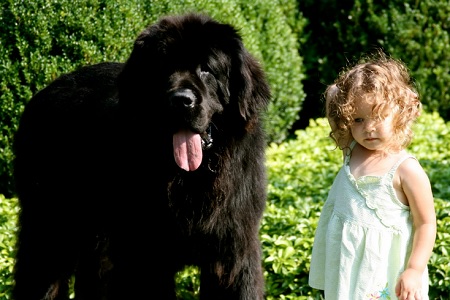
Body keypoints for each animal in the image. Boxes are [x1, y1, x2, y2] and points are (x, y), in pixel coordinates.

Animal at [12, 12, 270, 300]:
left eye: (207, 68)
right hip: (52, 222)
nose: (181, 99)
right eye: (163, 68)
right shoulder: (146, 255)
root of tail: (42, 93)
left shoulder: (232, 248)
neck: (189, 180)